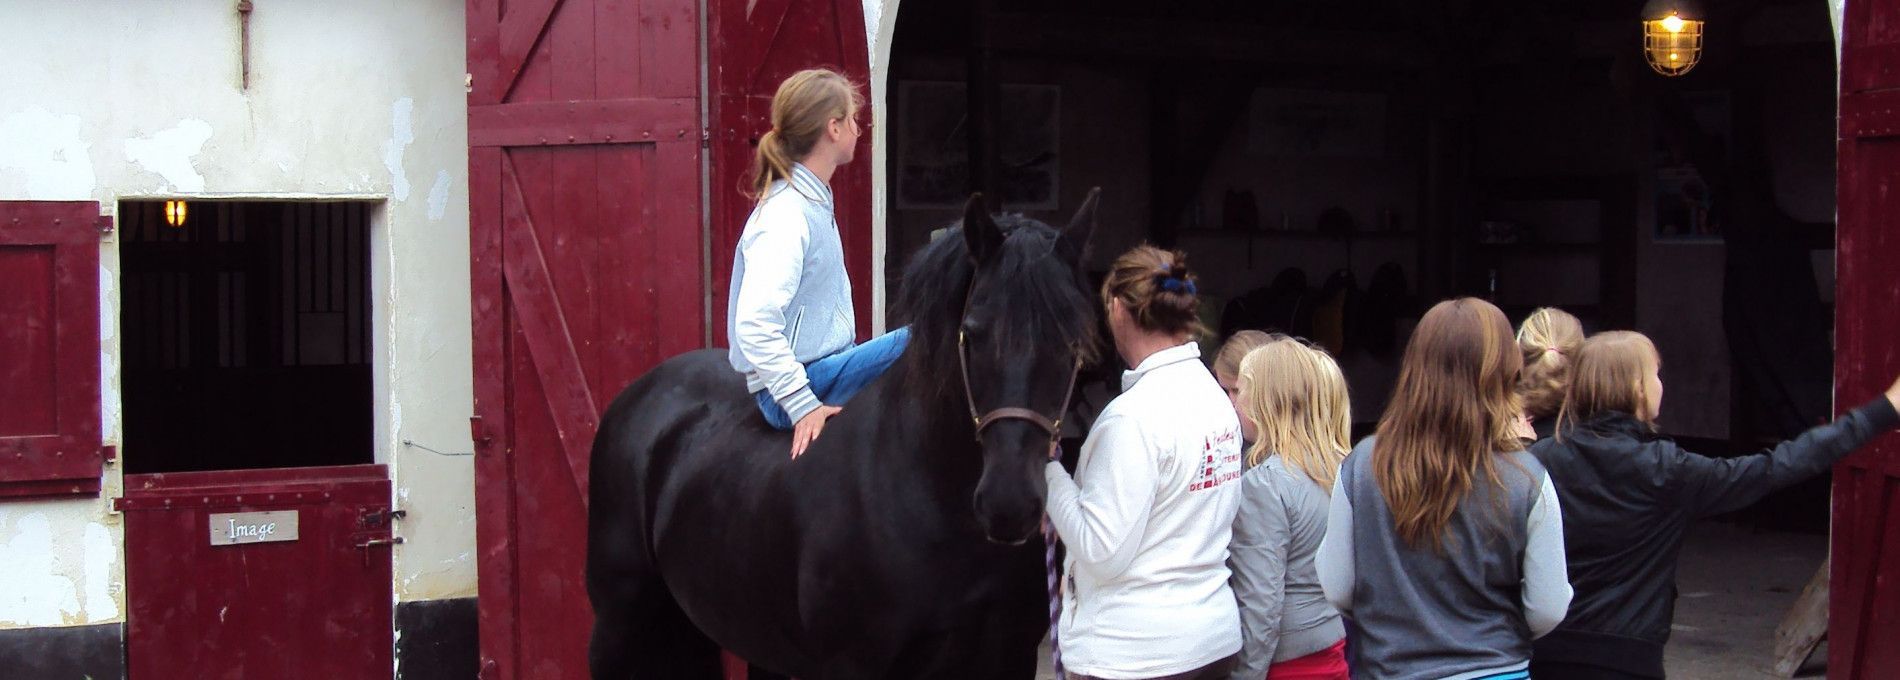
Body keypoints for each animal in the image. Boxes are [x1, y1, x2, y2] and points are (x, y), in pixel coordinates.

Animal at [585, 188, 1109, 676]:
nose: (1008, 506)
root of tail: (640, 397)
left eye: (1073, 341)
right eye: (972, 333)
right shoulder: (851, 664)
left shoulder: (1008, 657)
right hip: (619, 624)